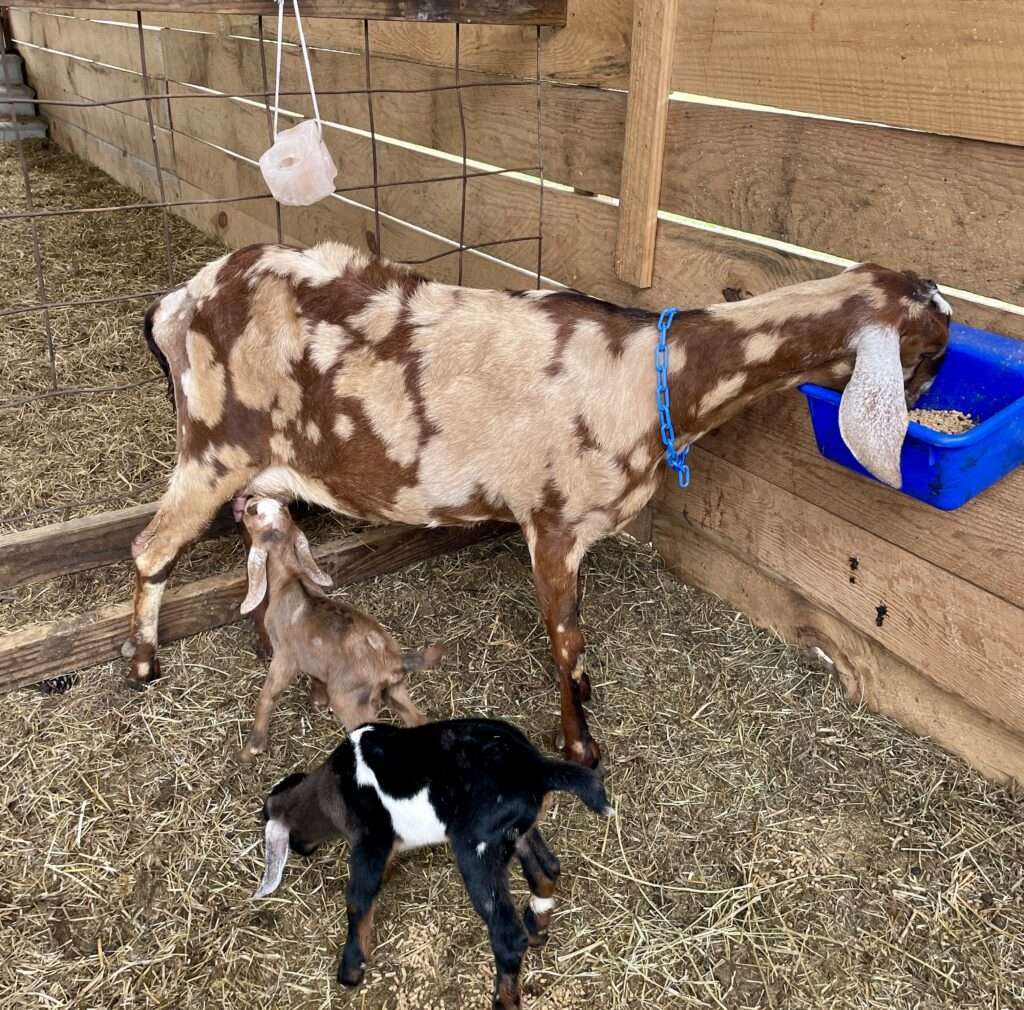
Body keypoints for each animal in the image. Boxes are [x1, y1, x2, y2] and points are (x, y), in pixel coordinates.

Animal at [128, 243, 950, 762]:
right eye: (932, 347)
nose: (927, 400)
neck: (653, 376)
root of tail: (177, 301)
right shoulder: (553, 521)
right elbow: (565, 637)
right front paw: (582, 745)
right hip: (213, 446)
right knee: (152, 548)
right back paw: (141, 664)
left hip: (255, 467)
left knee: (261, 534)